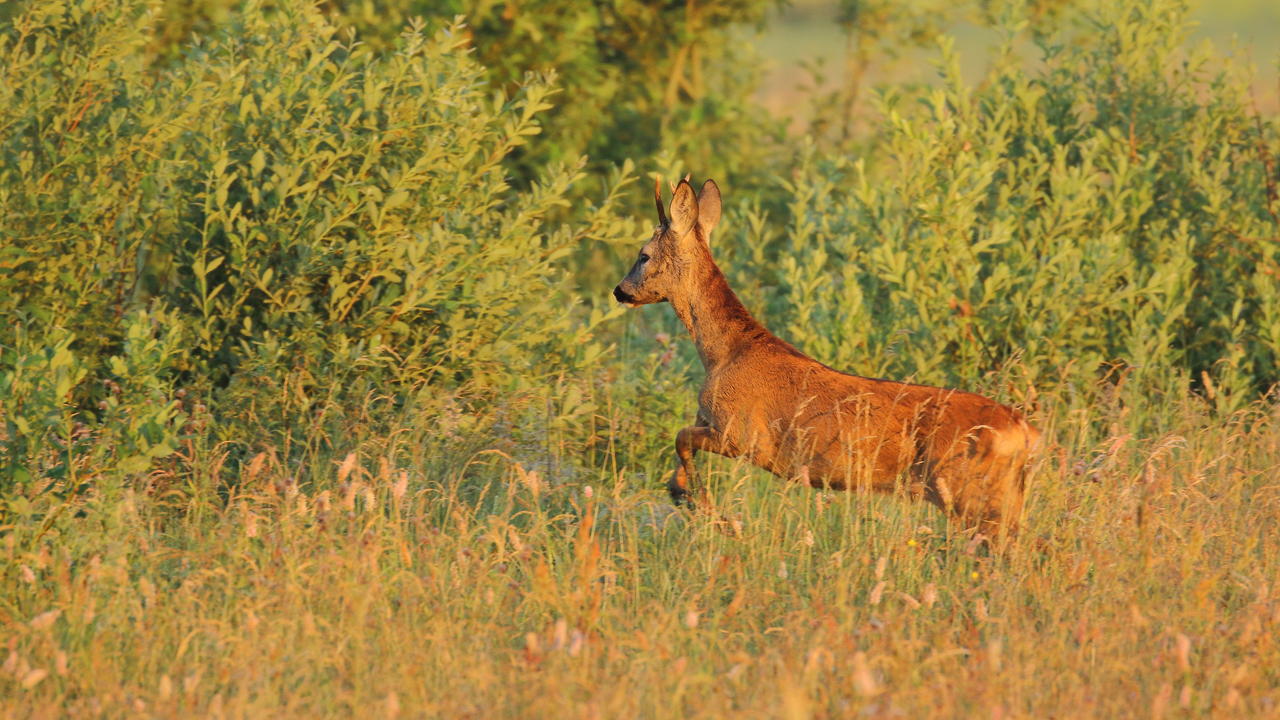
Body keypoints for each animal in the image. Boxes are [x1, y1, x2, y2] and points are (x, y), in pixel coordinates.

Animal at [614, 175, 1044, 538]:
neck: (722, 354)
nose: (620, 290)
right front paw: (685, 495)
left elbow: (680, 438)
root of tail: (1025, 431)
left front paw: (714, 515)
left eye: (644, 255)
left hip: (968, 489)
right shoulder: (711, 421)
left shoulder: (744, 436)